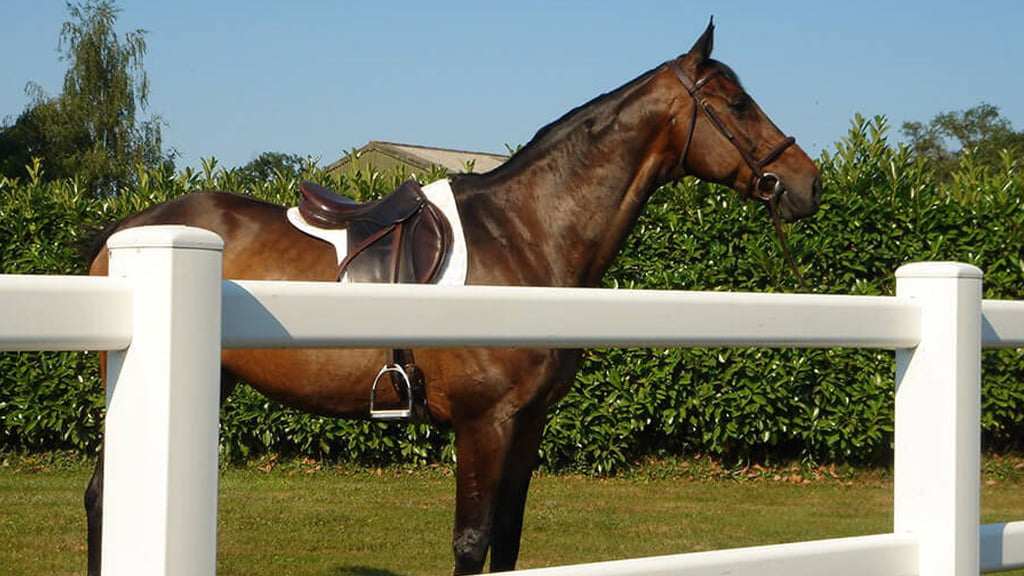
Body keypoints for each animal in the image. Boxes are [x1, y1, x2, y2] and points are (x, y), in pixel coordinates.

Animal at [88, 22, 823, 573]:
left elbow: (507, 543)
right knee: (102, 498)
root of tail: (128, 229)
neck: (527, 235)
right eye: (736, 104)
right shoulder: (484, 423)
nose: (806, 181)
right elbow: (472, 545)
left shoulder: (528, 424)